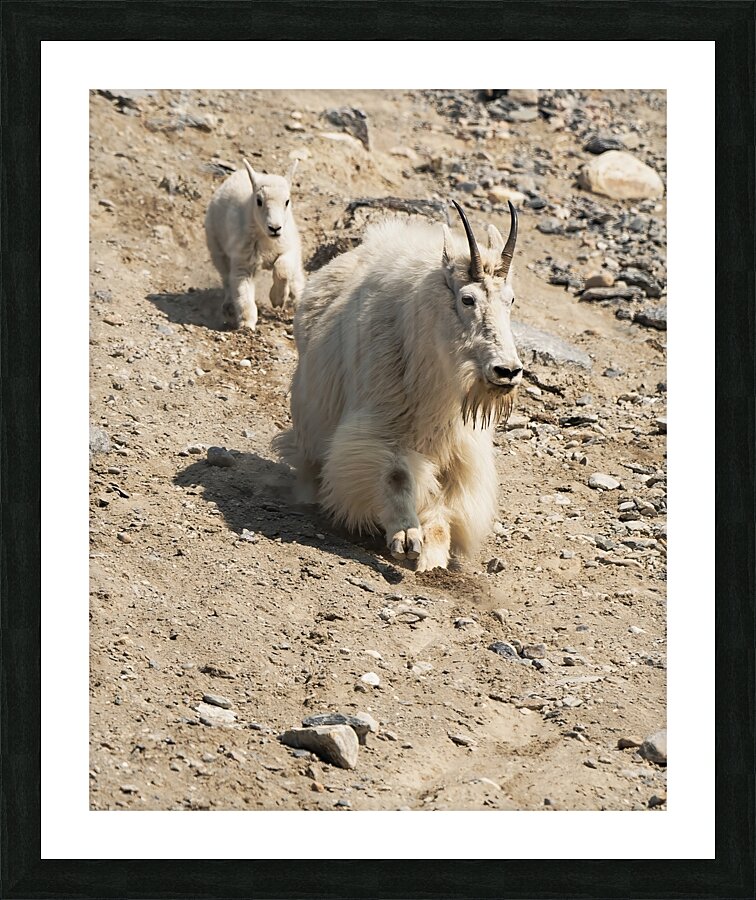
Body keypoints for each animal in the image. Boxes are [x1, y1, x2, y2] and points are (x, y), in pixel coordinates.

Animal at [204, 158, 305, 330]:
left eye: (287, 201)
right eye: (259, 201)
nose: (275, 228)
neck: (266, 240)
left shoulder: (289, 249)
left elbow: (282, 269)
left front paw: (277, 299)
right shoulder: (243, 262)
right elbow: (242, 292)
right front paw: (246, 325)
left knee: (297, 279)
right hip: (217, 250)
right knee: (226, 280)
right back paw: (229, 309)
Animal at [274, 200, 523, 572]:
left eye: (510, 300)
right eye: (467, 299)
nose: (507, 371)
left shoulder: (459, 449)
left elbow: (445, 496)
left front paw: (433, 550)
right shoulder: (382, 423)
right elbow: (396, 475)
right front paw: (406, 537)